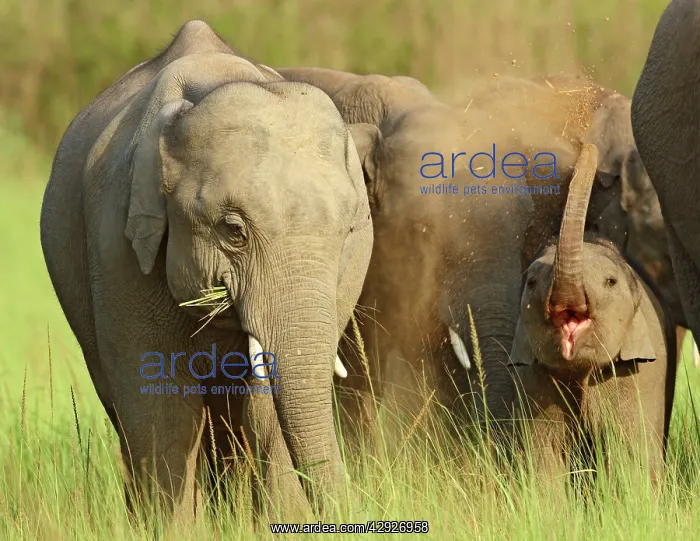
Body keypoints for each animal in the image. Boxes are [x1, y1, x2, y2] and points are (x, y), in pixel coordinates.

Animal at [39, 21, 373, 523]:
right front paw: (169, 526)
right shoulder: (116, 246)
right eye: (233, 231)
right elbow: (160, 406)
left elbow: (266, 410)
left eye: (348, 231)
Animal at [508, 144, 676, 487]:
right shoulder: (532, 376)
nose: (589, 148)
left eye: (610, 282)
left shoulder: (639, 372)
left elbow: (630, 453)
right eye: (531, 283)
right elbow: (542, 456)